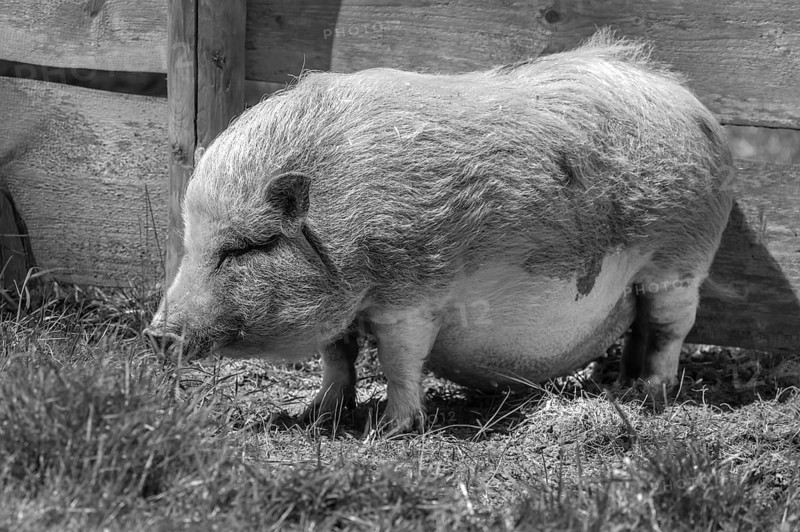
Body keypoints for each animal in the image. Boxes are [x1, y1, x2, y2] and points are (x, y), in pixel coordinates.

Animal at [146, 31, 734, 432]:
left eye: (250, 246)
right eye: (191, 245)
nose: (156, 334)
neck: (342, 234)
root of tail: (689, 101)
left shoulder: (412, 293)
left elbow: (399, 360)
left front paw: (390, 431)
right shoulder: (347, 306)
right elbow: (337, 356)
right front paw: (314, 413)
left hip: (681, 259)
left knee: (670, 330)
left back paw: (651, 396)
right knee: (639, 327)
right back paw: (621, 384)